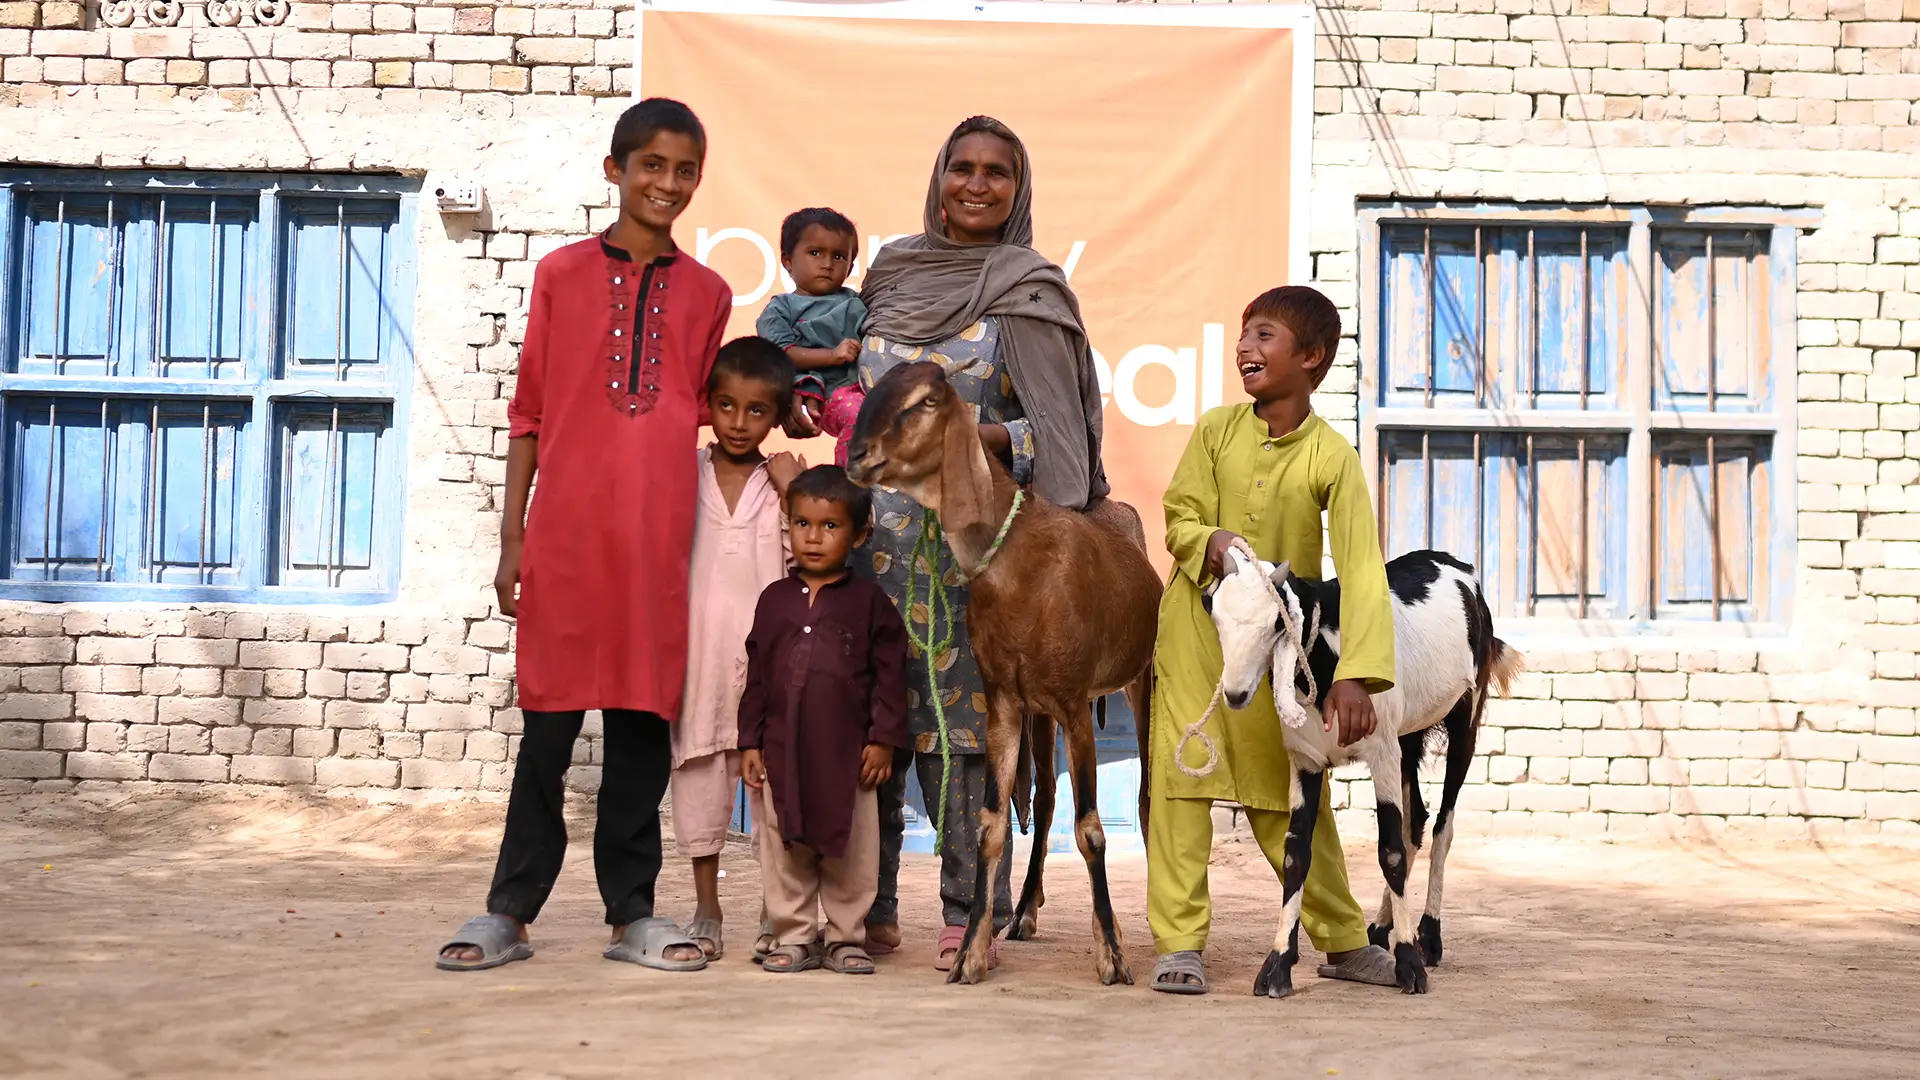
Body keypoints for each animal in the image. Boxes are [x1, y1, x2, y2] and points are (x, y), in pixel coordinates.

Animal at [847, 361, 1160, 986]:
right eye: (871, 388)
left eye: (924, 401)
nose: (857, 454)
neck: (1019, 562)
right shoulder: (1004, 702)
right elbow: (992, 823)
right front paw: (969, 953)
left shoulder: (1074, 701)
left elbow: (1091, 828)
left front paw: (1112, 955)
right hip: (1040, 712)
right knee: (1044, 800)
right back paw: (1026, 912)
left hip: (1142, 679)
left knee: (1142, 796)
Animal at [1206, 547, 1522, 999]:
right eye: (1215, 615)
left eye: (1276, 622)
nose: (1235, 692)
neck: (1329, 658)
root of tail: (1456, 564)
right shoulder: (1305, 762)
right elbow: (1295, 854)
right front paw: (1278, 963)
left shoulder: (1382, 751)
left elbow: (1389, 850)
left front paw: (1409, 965)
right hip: (1409, 736)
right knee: (1416, 821)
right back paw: (1380, 926)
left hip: (1465, 715)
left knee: (1441, 827)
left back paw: (1428, 935)